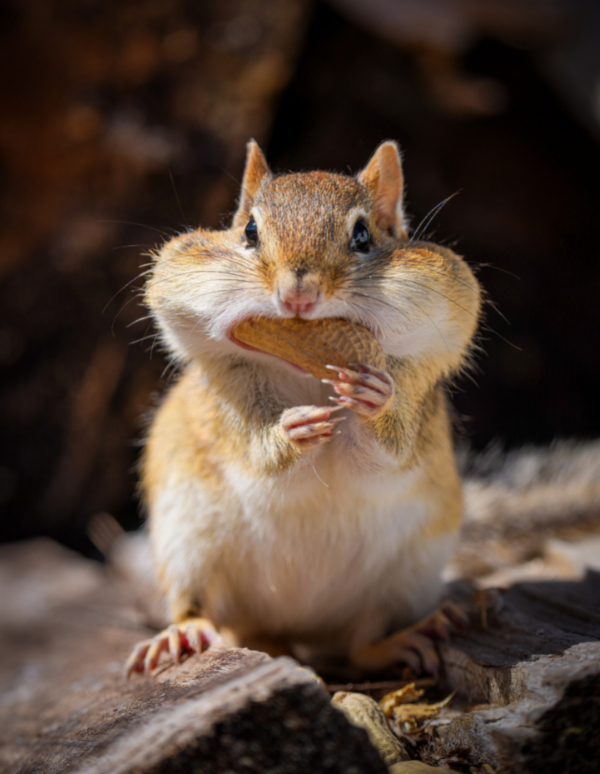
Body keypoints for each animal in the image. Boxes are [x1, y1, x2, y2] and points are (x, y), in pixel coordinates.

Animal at [126, 140, 482, 677]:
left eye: (363, 235)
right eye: (249, 232)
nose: (298, 295)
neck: (309, 374)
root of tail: (297, 632)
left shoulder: (414, 409)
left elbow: (389, 454)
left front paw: (373, 403)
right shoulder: (228, 409)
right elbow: (255, 454)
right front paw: (292, 432)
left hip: (409, 573)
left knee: (361, 645)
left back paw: (413, 635)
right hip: (187, 545)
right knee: (197, 605)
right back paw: (181, 634)